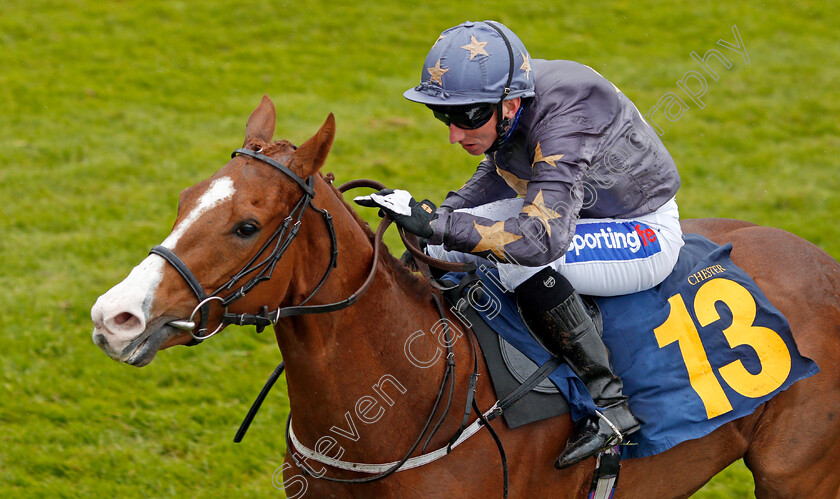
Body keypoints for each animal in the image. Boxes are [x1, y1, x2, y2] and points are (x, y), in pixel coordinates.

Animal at [90, 95, 840, 498]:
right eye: (184, 199)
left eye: (246, 224)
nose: (113, 317)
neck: (407, 398)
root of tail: (820, 261)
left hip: (797, 473)